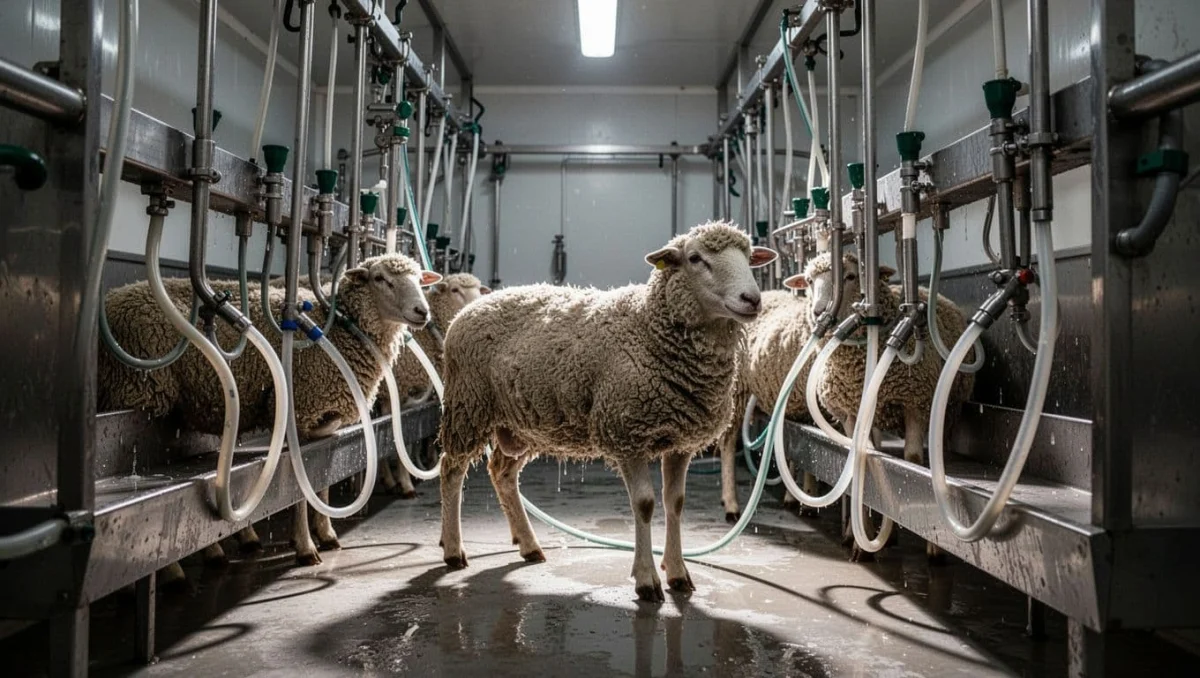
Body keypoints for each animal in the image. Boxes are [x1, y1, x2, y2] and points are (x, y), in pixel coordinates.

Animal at [99, 253, 440, 566]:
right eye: (381, 279)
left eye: (419, 280)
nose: (422, 311)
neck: (340, 329)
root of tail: (113, 296)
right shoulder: (297, 415)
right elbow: (302, 486)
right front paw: (305, 545)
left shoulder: (327, 424)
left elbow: (324, 478)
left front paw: (326, 532)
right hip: (137, 389)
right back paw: (178, 570)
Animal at [378, 273, 491, 497]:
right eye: (455, 290)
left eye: (478, 289)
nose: (476, 305)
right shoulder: (400, 391)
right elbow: (401, 438)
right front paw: (406, 484)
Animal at [436, 221, 777, 602]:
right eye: (695, 258)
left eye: (750, 256)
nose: (752, 299)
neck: (648, 328)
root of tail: (472, 307)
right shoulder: (625, 432)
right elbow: (644, 504)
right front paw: (646, 580)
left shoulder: (680, 440)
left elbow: (675, 502)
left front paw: (677, 573)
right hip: (469, 406)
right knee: (451, 469)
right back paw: (453, 549)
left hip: (522, 421)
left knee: (502, 473)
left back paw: (529, 545)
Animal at [787, 251, 974, 561]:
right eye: (810, 281)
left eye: (851, 276)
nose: (818, 312)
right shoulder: (852, 412)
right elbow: (862, 461)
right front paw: (859, 538)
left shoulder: (915, 403)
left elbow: (912, 464)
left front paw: (931, 543)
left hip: (946, 408)